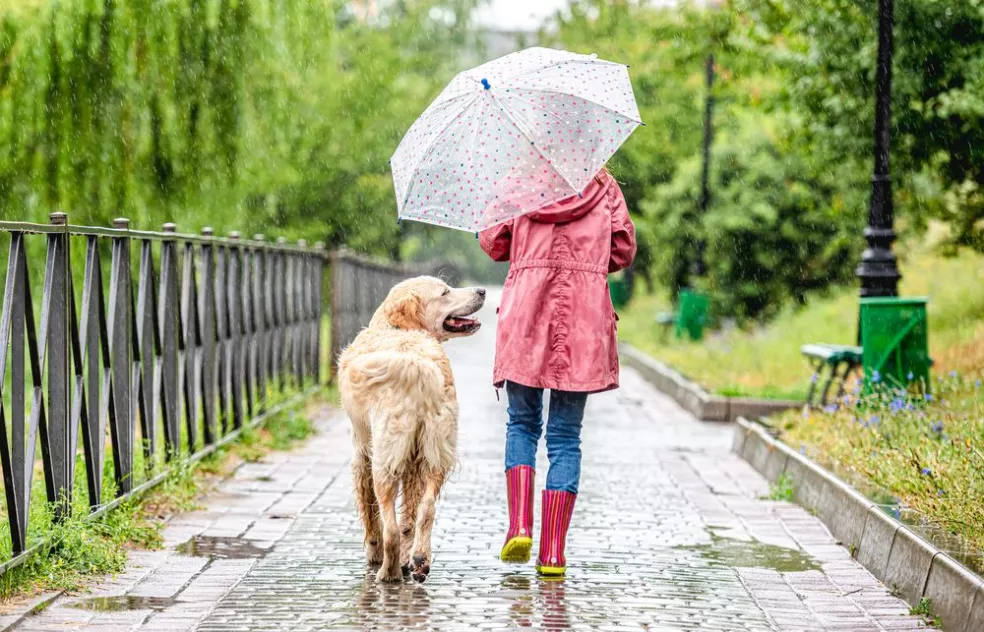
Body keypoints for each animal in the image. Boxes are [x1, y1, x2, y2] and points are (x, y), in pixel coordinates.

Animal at [336, 276, 486, 584]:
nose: (482, 291)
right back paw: (418, 560)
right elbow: (411, 514)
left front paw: (374, 554)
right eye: (445, 292)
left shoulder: (361, 452)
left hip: (385, 457)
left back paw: (388, 572)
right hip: (435, 452)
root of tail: (416, 364)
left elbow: (371, 512)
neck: (395, 329)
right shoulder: (415, 459)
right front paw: (409, 558)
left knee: (390, 527)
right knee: (426, 509)